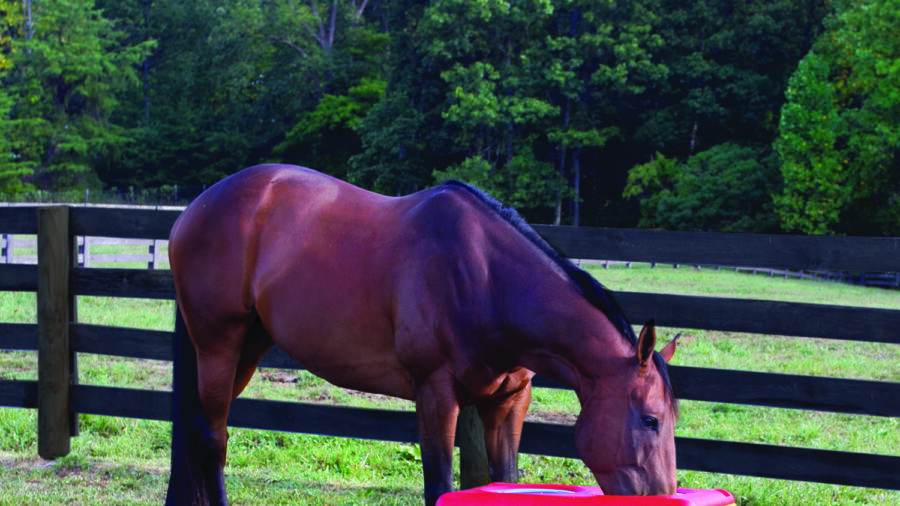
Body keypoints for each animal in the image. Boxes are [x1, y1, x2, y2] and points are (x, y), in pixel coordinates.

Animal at [165, 164, 679, 505]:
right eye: (650, 420)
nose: (663, 495)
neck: (487, 280)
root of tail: (195, 208)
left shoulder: (509, 401)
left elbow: (504, 478)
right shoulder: (435, 394)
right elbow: (439, 486)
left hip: (248, 347)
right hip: (218, 346)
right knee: (211, 438)